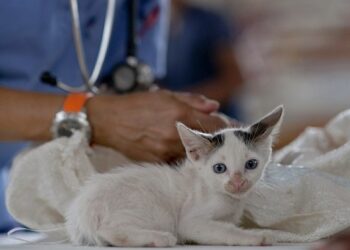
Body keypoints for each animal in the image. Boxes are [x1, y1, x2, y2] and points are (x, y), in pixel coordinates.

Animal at [66, 105, 284, 246]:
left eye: (251, 164)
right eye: (219, 168)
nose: (237, 182)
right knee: (108, 231)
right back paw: (159, 239)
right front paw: (258, 236)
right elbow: (224, 231)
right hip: (154, 211)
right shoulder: (190, 221)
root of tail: (82, 210)